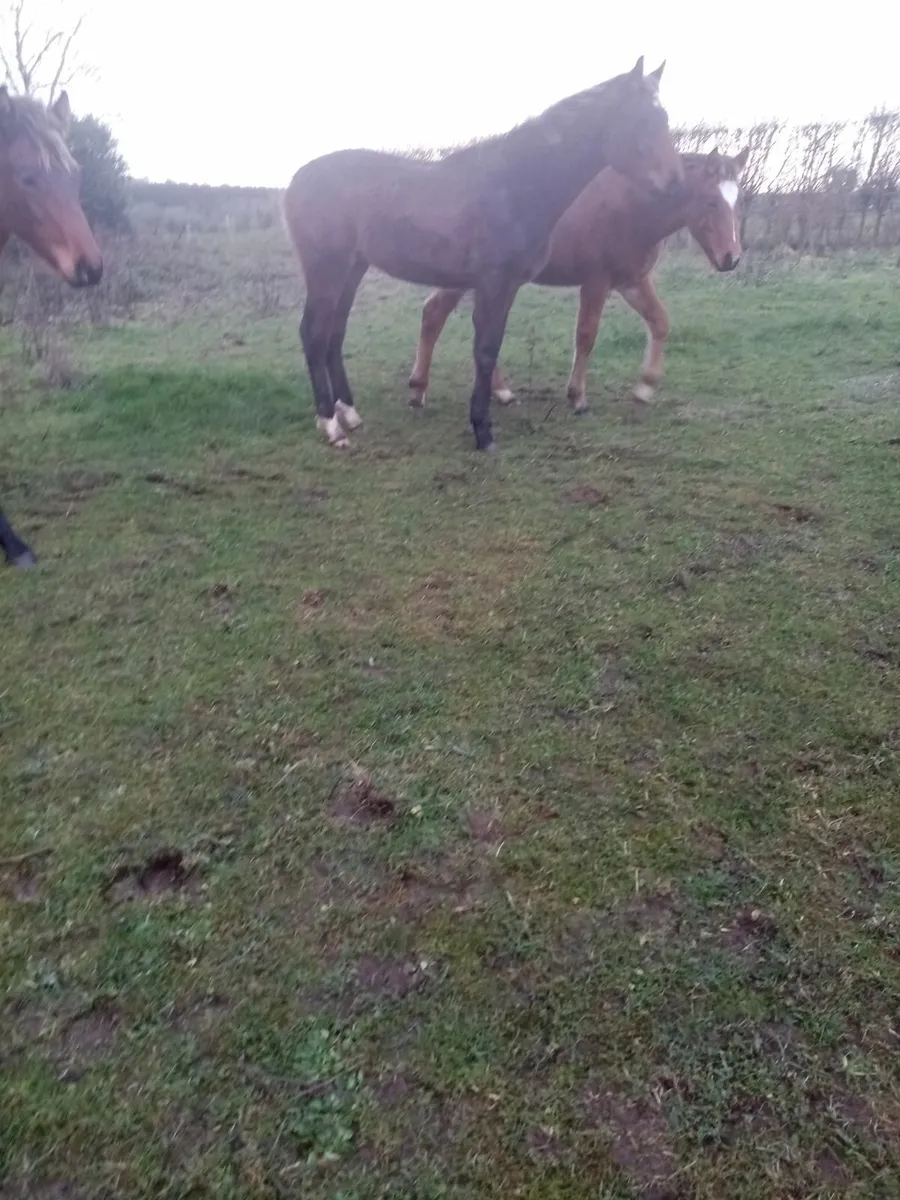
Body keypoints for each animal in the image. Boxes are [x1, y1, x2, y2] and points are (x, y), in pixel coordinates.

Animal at [283, 56, 684, 454]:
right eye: (641, 120)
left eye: (664, 119)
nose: (675, 184)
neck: (515, 185)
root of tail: (296, 179)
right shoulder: (493, 283)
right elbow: (486, 350)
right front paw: (483, 431)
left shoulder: (508, 287)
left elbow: (491, 346)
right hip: (327, 269)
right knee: (314, 333)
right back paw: (331, 426)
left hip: (353, 268)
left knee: (335, 332)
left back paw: (350, 413)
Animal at [407, 147, 749, 415]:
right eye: (711, 201)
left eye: (739, 202)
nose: (731, 258)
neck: (631, 205)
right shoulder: (596, 281)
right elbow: (586, 335)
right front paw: (577, 396)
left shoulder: (633, 281)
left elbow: (660, 322)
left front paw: (645, 387)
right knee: (436, 315)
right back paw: (421, 390)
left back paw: (493, 392)